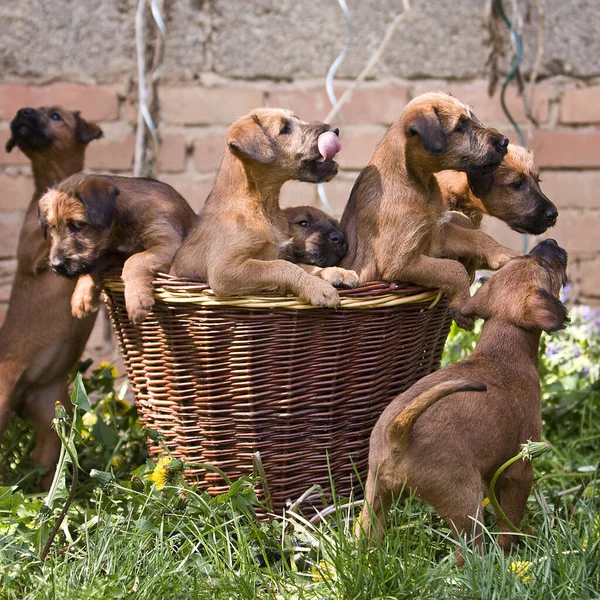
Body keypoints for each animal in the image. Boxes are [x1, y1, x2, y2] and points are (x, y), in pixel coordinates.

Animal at [0, 104, 102, 488]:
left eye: (56, 116)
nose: (22, 112)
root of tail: (25, 392)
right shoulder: (33, 250)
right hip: (2, 402)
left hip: (51, 420)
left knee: (46, 464)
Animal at [38, 171, 197, 326]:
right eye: (51, 228)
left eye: (78, 225)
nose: (56, 266)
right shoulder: (113, 254)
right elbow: (95, 265)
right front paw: (82, 296)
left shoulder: (169, 245)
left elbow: (134, 260)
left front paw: (136, 300)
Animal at [170, 106, 356, 310]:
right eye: (284, 128)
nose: (335, 130)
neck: (261, 205)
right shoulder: (224, 269)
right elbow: (282, 267)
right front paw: (318, 288)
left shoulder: (278, 255)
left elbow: (302, 266)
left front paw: (336, 271)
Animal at [340, 92, 516, 330]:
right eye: (460, 126)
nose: (505, 141)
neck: (415, 182)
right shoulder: (400, 262)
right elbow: (453, 269)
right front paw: (463, 306)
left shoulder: (437, 234)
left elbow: (476, 236)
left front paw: (504, 254)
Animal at [358, 239, 568, 564]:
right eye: (546, 267)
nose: (550, 242)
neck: (501, 351)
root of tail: (399, 432)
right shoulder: (519, 470)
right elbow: (509, 521)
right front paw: (511, 551)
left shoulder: (494, 471)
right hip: (465, 500)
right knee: (466, 554)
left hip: (374, 498)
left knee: (364, 537)